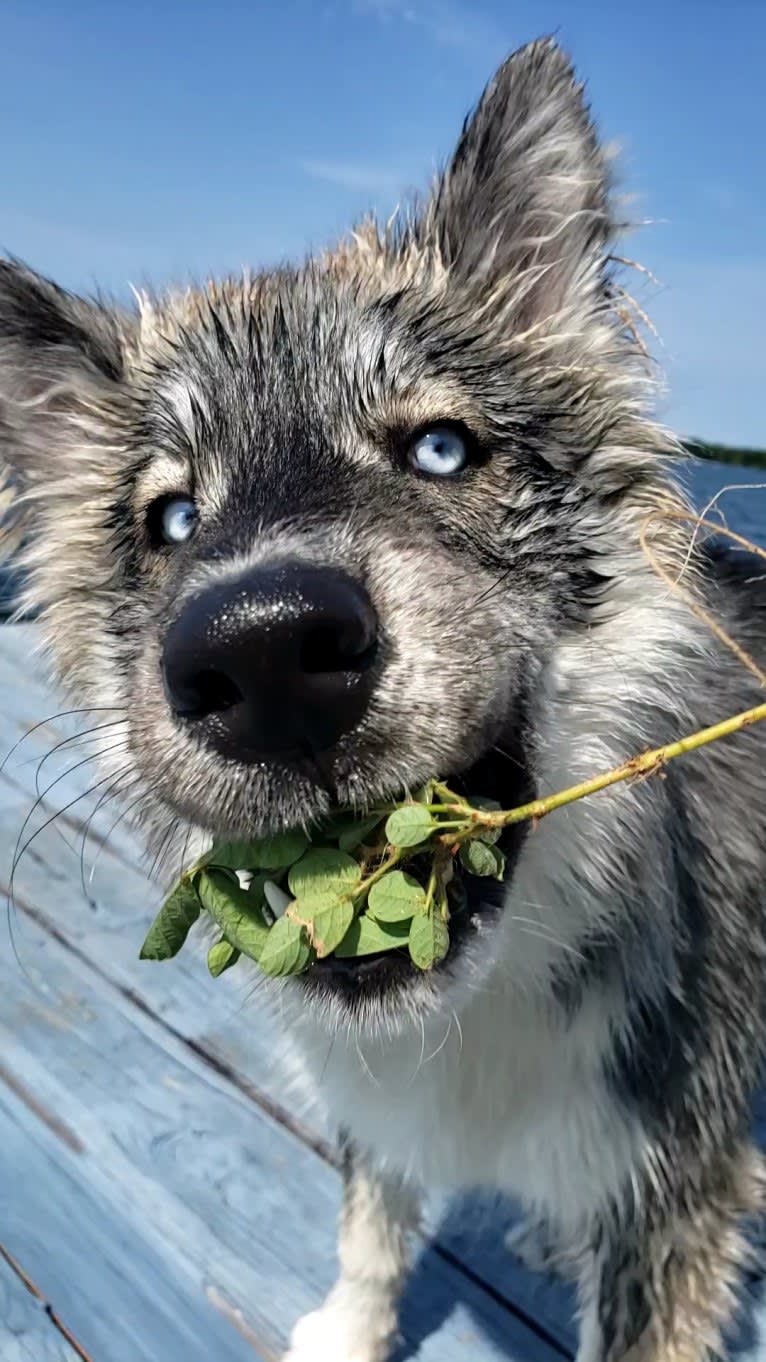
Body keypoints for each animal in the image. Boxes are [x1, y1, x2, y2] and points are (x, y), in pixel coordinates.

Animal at [1, 39, 763, 1362]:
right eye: (170, 518)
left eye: (441, 449)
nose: (263, 656)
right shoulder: (377, 1105)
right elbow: (371, 1214)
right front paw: (351, 1329)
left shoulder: (676, 1185)